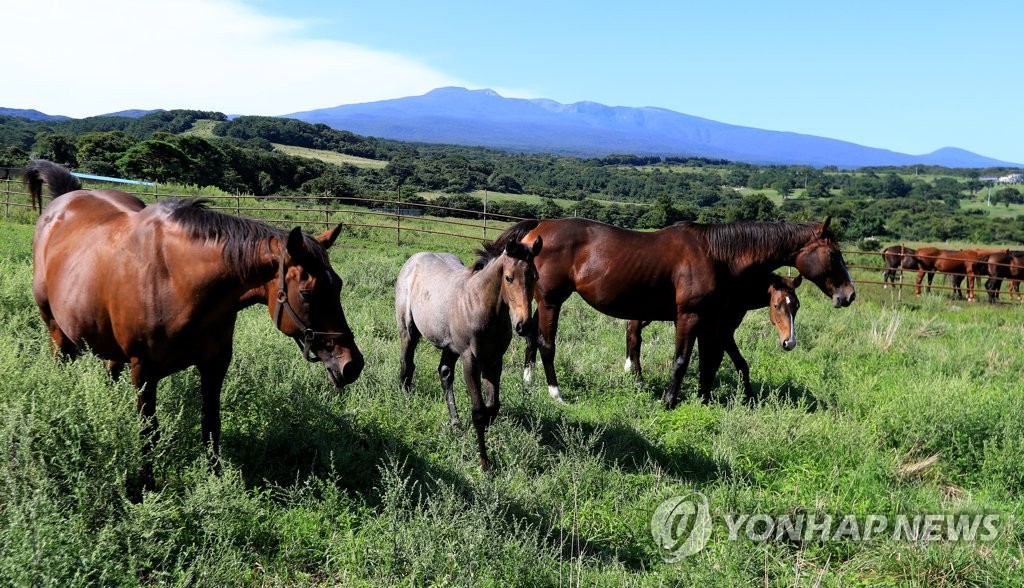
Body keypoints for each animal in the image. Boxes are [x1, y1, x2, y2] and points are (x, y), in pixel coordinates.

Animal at [24, 158, 364, 495]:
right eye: (307, 294)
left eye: (338, 286)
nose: (352, 365)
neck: (175, 280)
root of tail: (64, 200)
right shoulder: (143, 371)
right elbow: (149, 433)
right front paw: (148, 486)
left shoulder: (214, 364)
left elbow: (211, 424)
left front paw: (215, 479)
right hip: (58, 333)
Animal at [393, 237, 544, 473]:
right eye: (508, 278)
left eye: (535, 277)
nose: (523, 325)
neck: (479, 304)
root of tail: (414, 259)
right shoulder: (470, 359)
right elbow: (479, 411)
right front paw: (484, 461)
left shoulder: (494, 360)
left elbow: (493, 407)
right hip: (408, 329)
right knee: (407, 364)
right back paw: (406, 400)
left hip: (450, 346)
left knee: (444, 373)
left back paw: (456, 425)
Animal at [618, 274, 802, 403]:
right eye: (776, 306)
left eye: (797, 306)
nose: (790, 342)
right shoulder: (720, 332)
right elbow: (720, 362)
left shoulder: (724, 332)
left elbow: (730, 363)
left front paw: (750, 398)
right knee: (634, 335)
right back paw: (638, 379)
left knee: (631, 332)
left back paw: (629, 369)